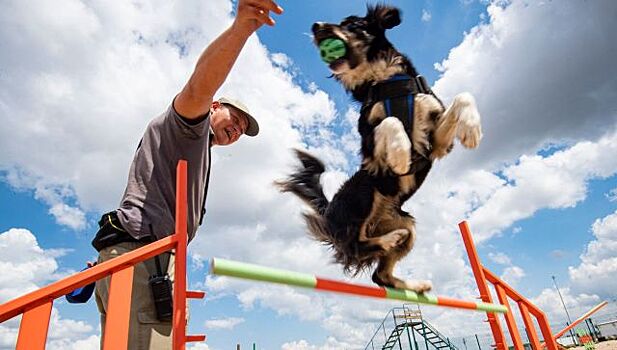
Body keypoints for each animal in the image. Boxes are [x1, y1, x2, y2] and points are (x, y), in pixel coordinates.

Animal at [276, 4, 484, 292]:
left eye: (352, 24)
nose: (315, 25)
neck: (386, 83)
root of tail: (329, 211)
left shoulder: (437, 143)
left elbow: (463, 96)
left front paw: (472, 129)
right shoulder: (370, 147)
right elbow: (390, 121)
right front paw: (400, 153)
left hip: (405, 221)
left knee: (380, 275)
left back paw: (414, 282)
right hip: (365, 192)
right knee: (356, 246)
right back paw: (390, 239)